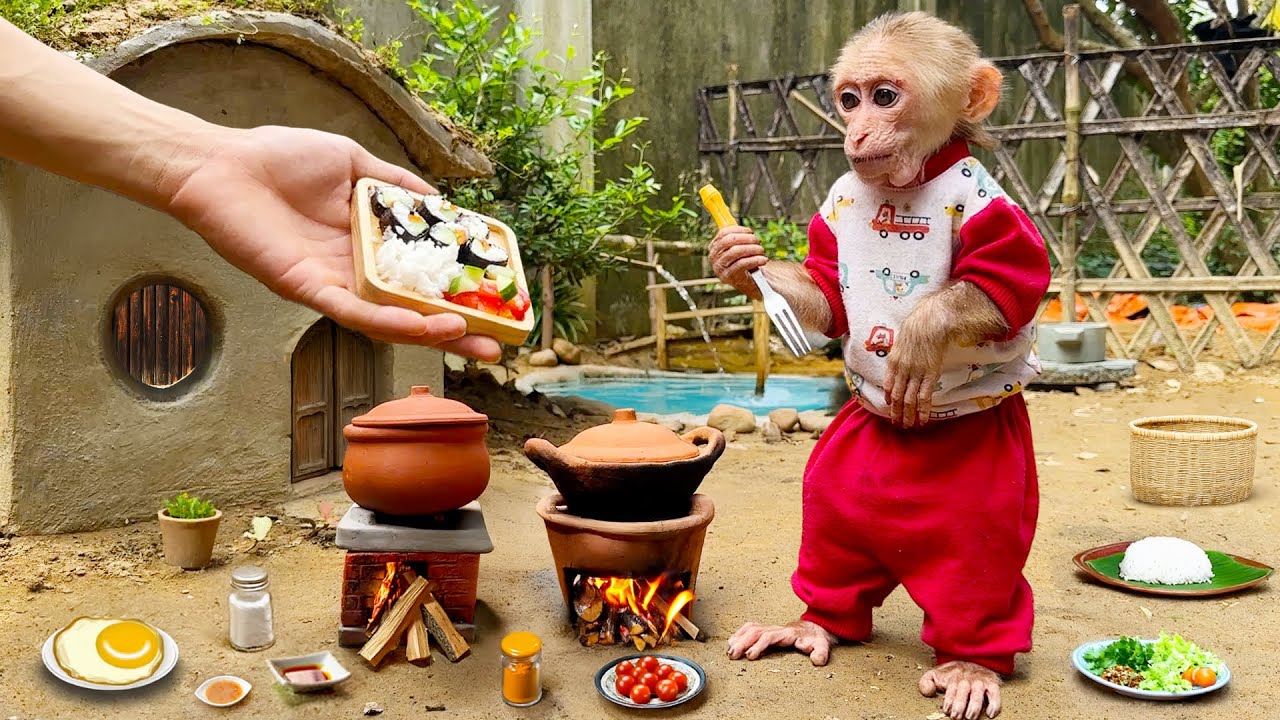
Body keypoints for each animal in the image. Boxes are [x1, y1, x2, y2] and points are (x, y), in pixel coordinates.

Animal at [708, 13, 1050, 720]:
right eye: (849, 98)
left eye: (885, 97)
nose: (858, 128)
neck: (904, 186)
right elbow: (827, 295)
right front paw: (740, 260)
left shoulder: (992, 206)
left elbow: (1006, 284)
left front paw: (920, 332)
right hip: (844, 465)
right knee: (831, 531)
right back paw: (814, 621)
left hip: (986, 487)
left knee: (977, 571)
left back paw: (971, 661)